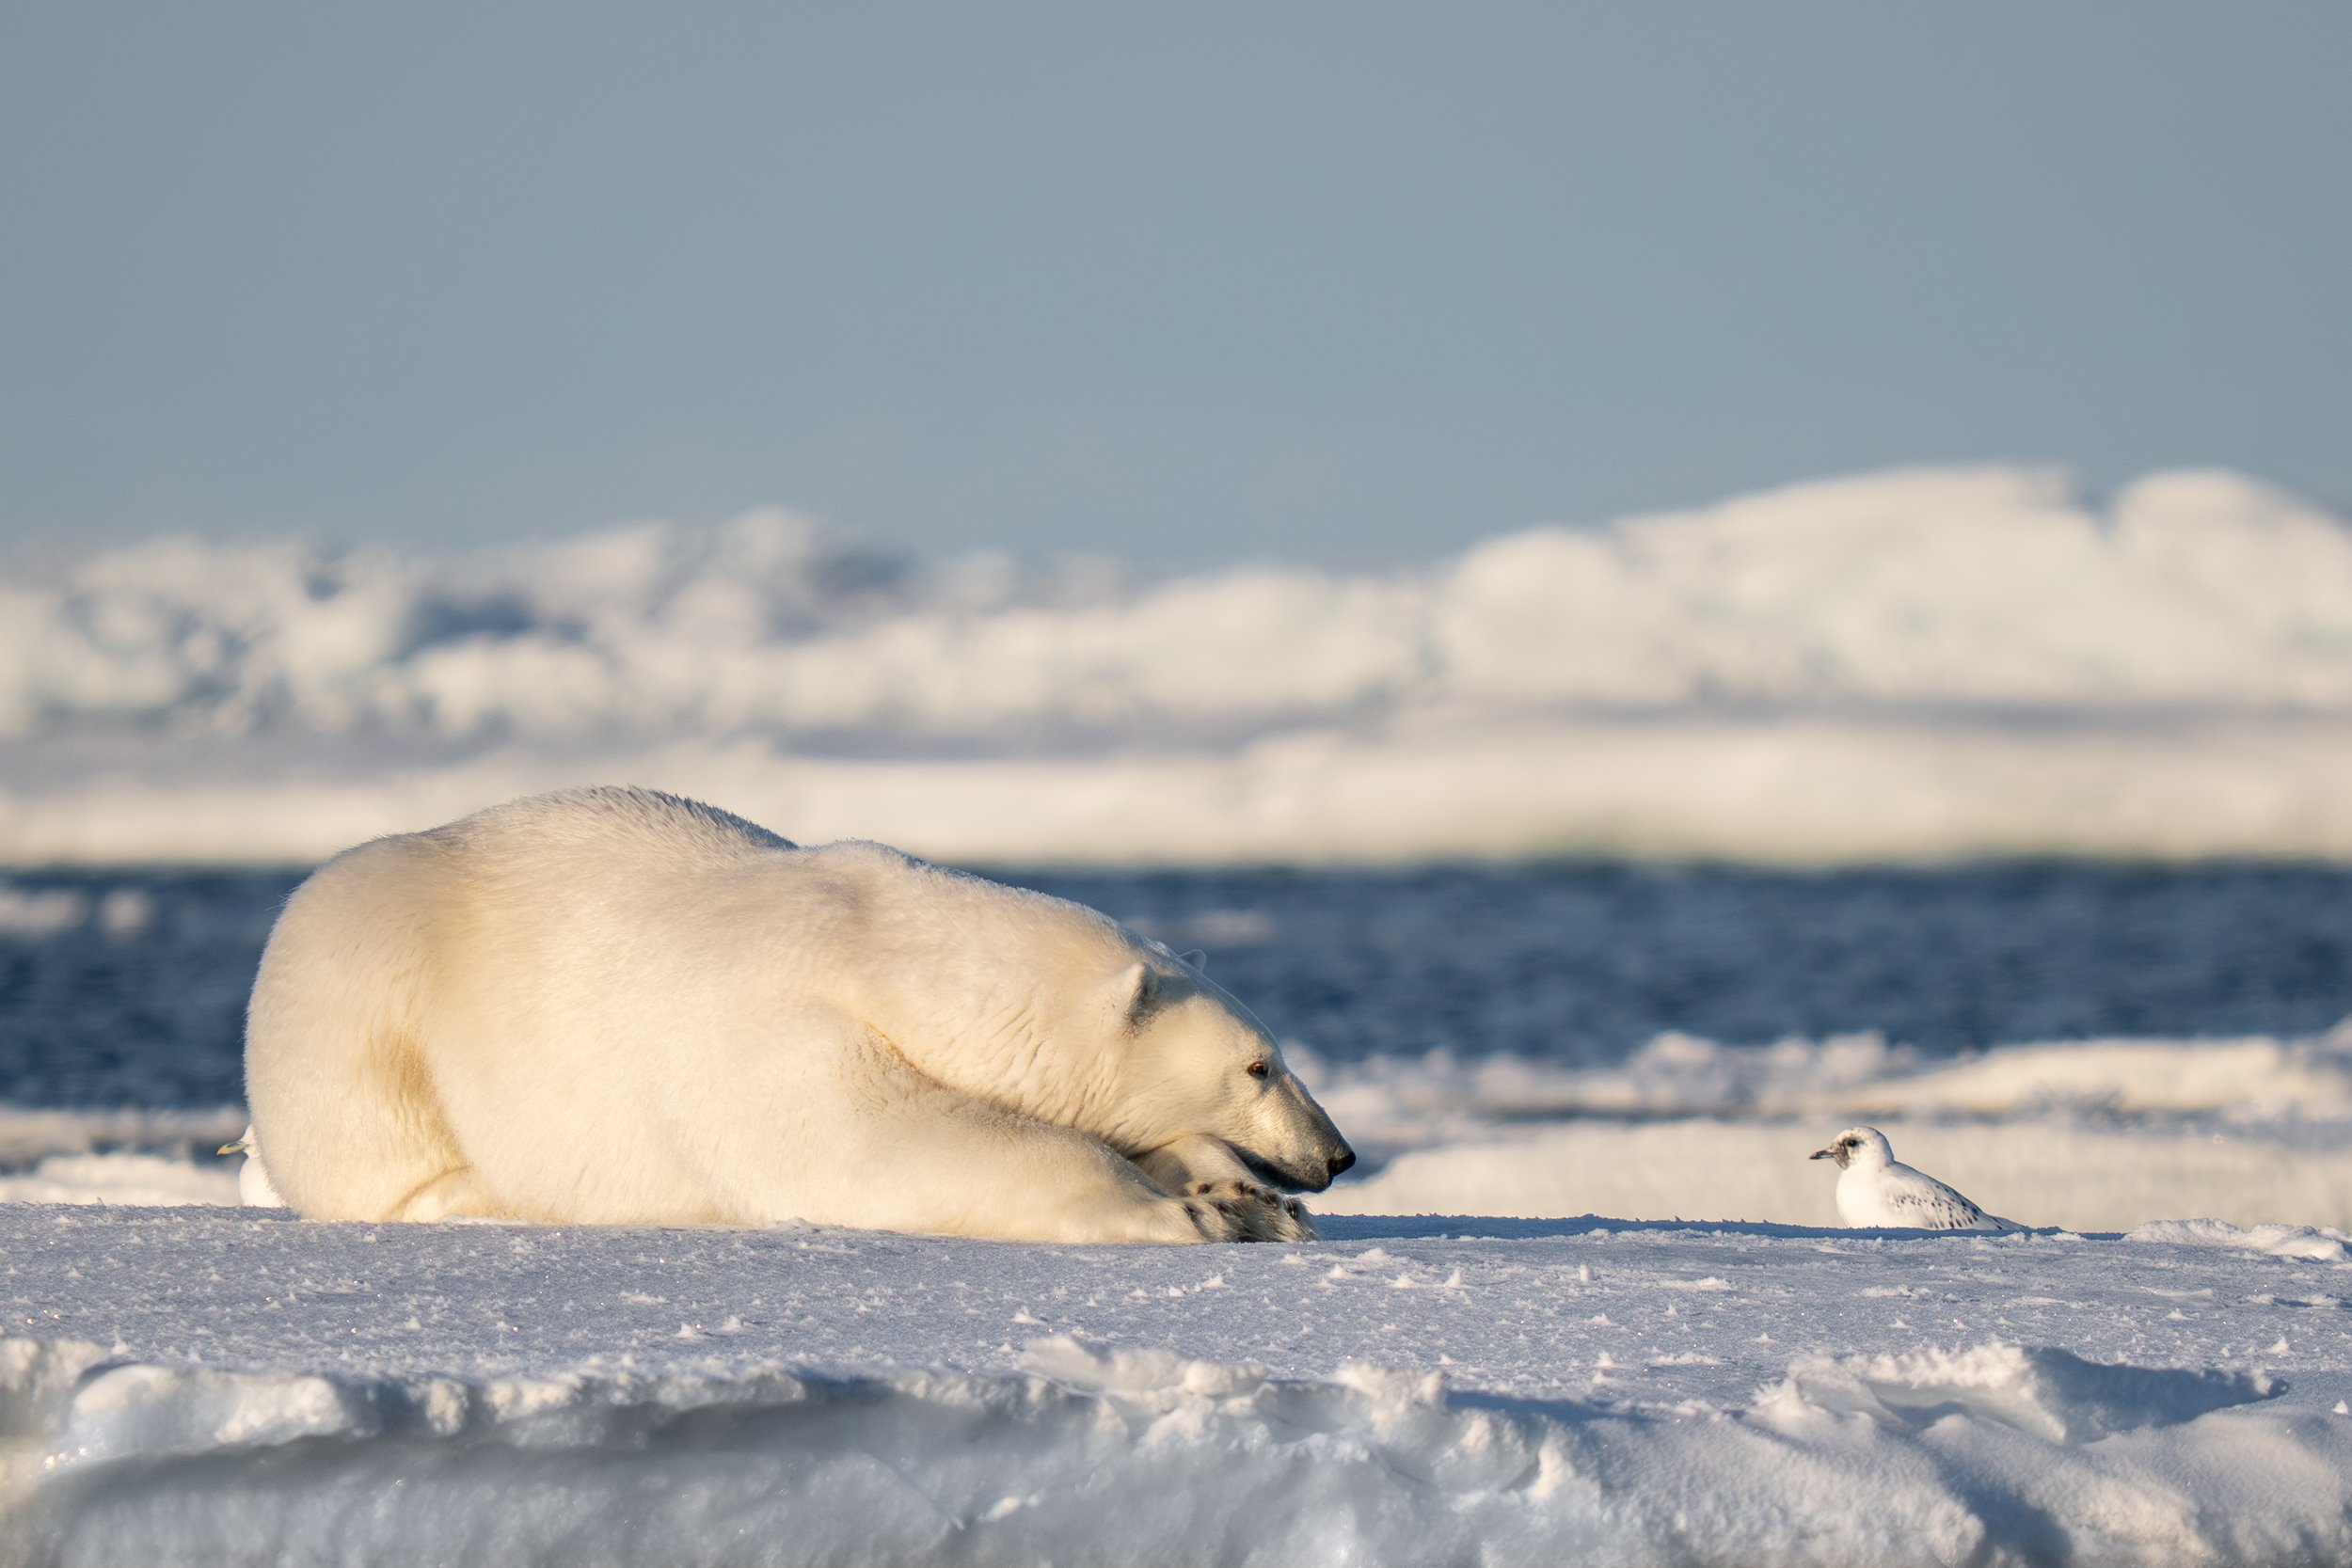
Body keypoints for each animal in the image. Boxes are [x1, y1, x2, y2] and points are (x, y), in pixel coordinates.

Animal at [242, 787, 1354, 1243]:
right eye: (1259, 1065)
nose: (1335, 1153)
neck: (887, 949)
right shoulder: (770, 1029)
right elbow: (881, 1145)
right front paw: (1191, 1215)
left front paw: (1245, 1198)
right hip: (363, 986)